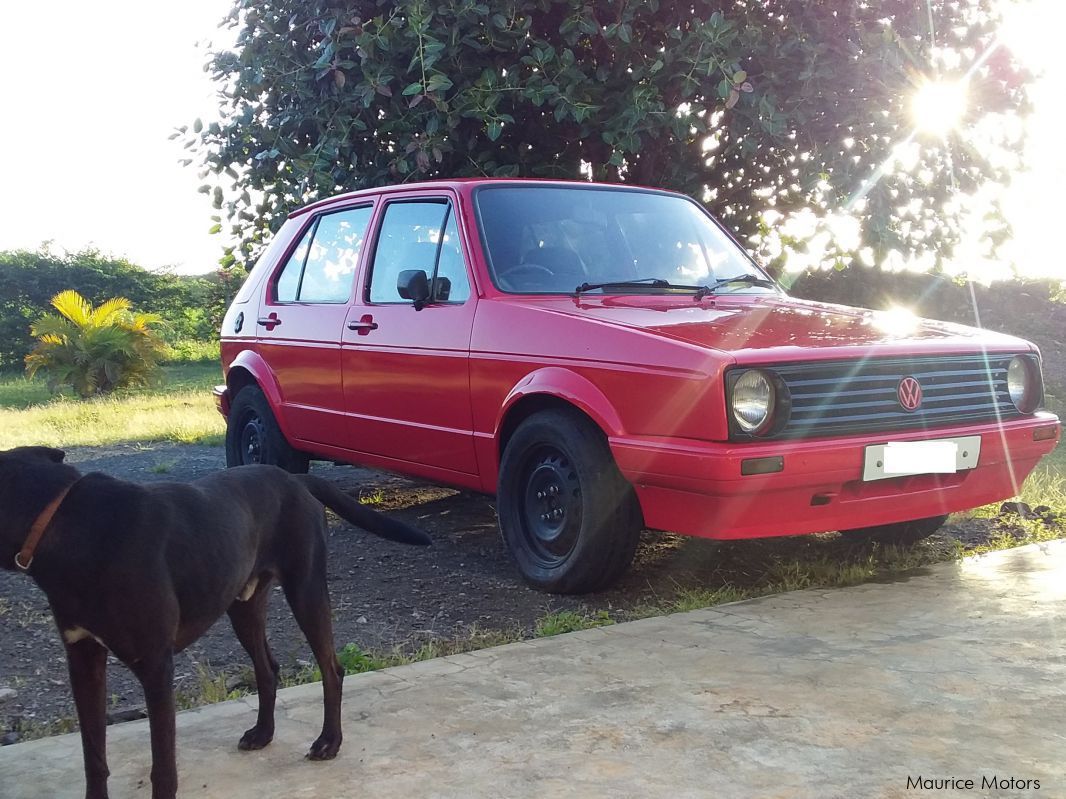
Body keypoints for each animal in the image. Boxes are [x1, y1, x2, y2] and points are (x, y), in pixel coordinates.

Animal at [2, 447, 432, 799]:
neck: (62, 521)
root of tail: (294, 478)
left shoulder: (155, 666)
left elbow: (163, 765)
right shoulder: (83, 659)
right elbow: (94, 757)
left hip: (306, 590)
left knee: (331, 668)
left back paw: (329, 741)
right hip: (243, 606)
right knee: (268, 669)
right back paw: (263, 733)